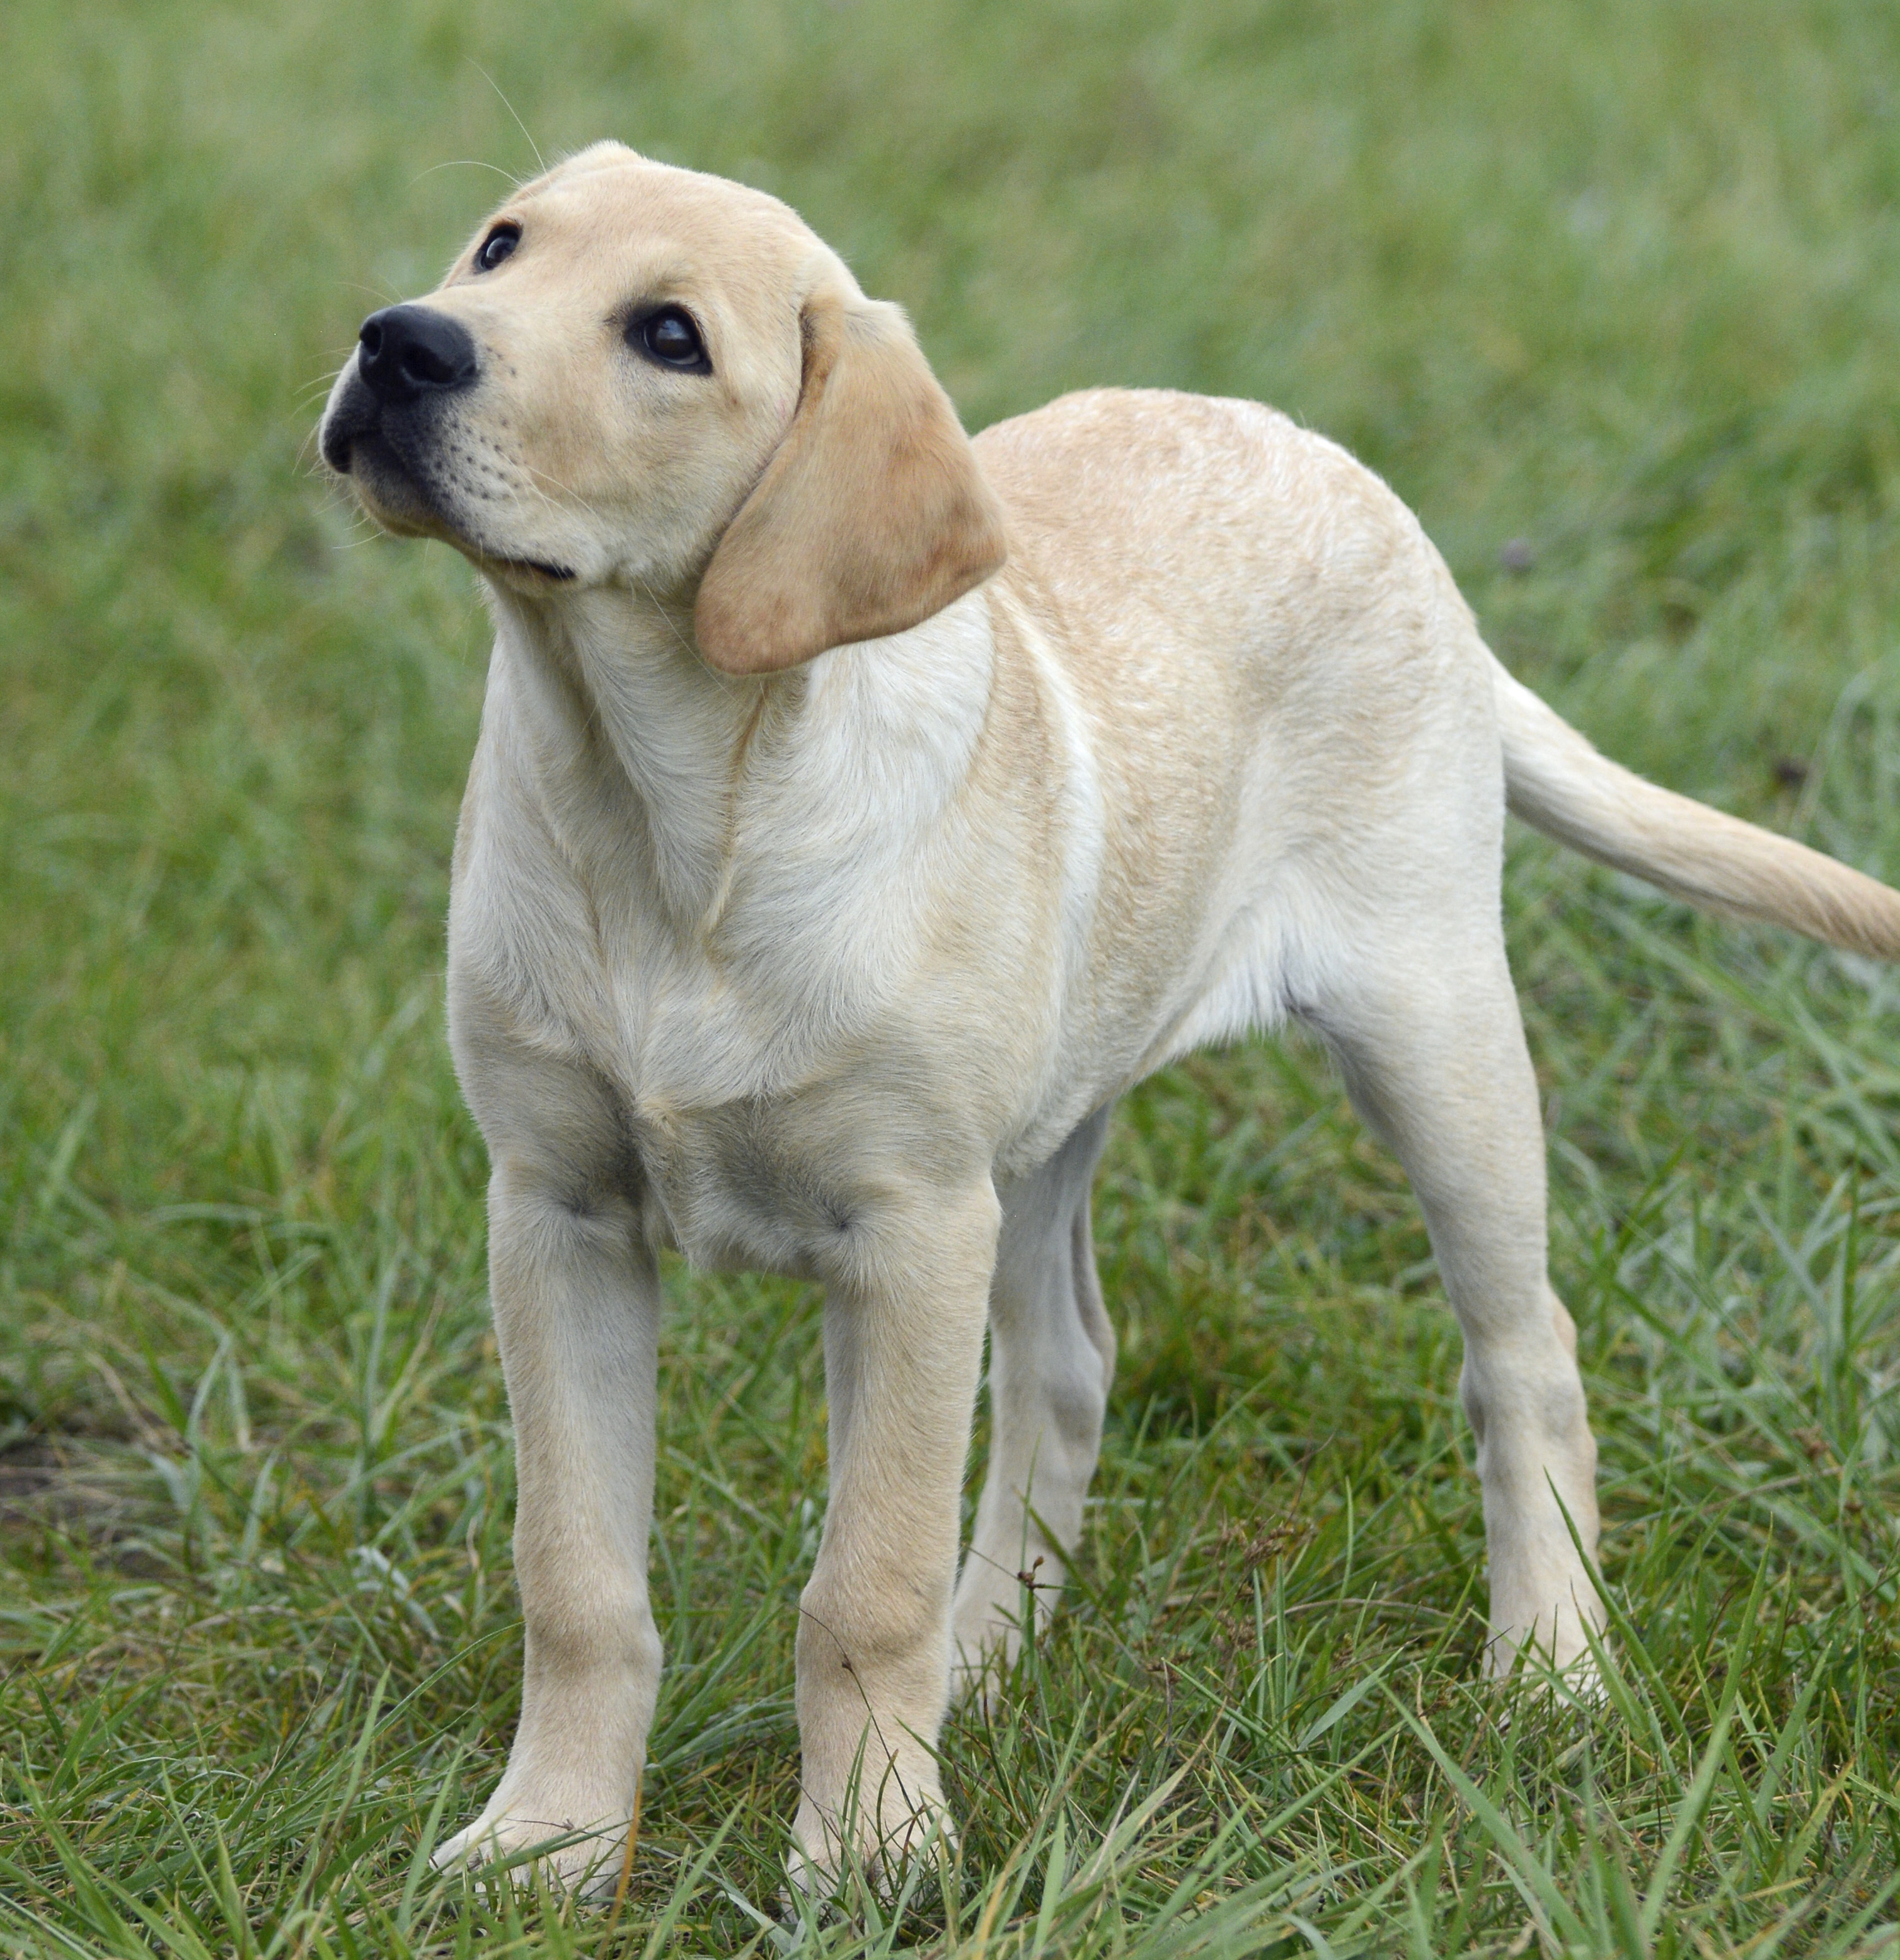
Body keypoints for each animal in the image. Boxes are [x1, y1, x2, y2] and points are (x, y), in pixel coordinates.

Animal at [321, 138, 1897, 1881]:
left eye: (669, 338)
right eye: (499, 247)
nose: (401, 344)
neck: (661, 807)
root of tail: (1359, 490)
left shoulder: (907, 1225)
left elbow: (861, 1582)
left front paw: (867, 1849)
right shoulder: (558, 1212)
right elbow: (577, 1573)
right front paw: (550, 1843)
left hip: (1430, 1031)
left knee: (1523, 1353)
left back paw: (1549, 1668)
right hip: (1044, 1127)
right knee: (1068, 1364)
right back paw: (985, 1667)